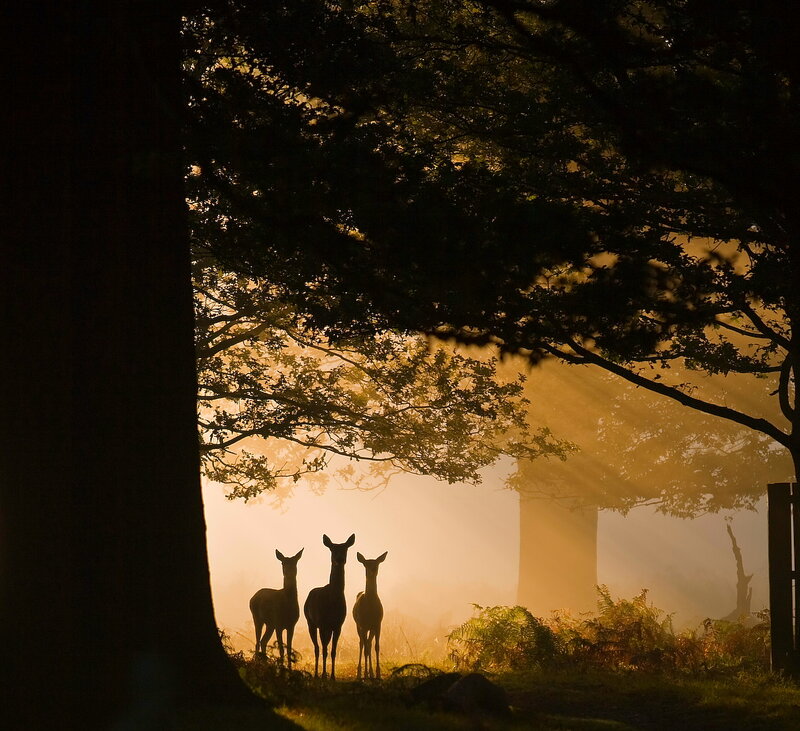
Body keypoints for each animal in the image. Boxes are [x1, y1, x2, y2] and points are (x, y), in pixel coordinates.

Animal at [303, 533, 355, 680]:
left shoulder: (338, 625)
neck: (333, 601)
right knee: (317, 648)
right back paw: (316, 674)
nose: (339, 559)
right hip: (310, 622)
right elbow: (324, 650)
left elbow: (333, 651)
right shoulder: (322, 623)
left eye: (346, 548)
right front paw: (323, 675)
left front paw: (332, 676)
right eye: (332, 549)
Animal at [352, 551, 388, 680]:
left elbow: (377, 646)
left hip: (370, 628)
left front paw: (377, 673)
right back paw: (361, 673)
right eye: (365, 564)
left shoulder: (378, 624)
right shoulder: (362, 624)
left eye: (376, 564)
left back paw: (370, 673)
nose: (372, 571)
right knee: (362, 644)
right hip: (358, 626)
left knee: (369, 643)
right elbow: (365, 647)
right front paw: (364, 673)